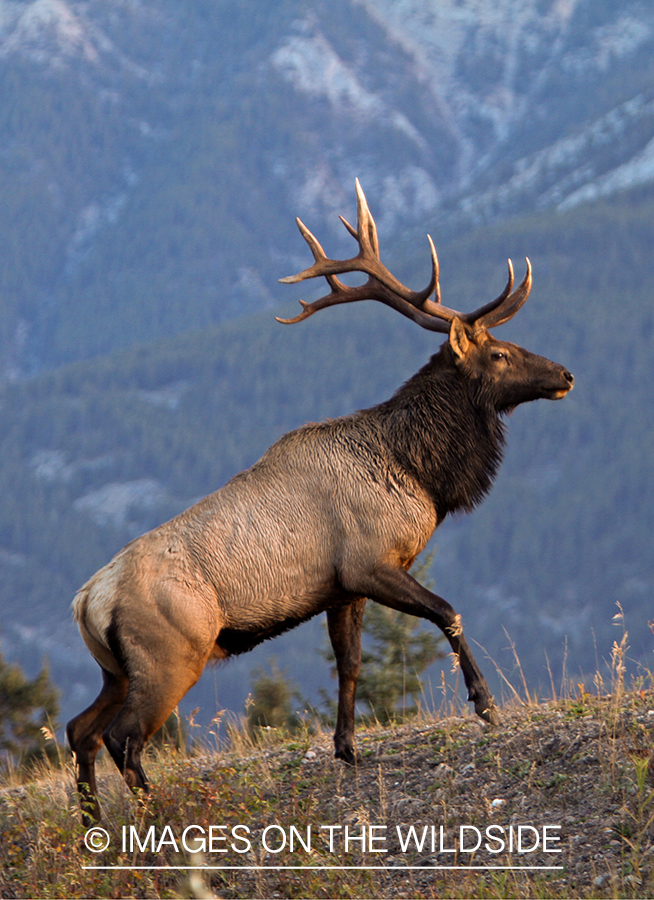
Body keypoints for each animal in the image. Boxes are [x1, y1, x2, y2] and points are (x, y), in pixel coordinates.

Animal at [69, 181, 576, 824]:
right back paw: (158, 819)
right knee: (122, 738)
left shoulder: (343, 588)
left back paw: (94, 824)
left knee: (79, 730)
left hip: (115, 669)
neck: (417, 473)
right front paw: (485, 705)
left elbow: (351, 663)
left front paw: (347, 749)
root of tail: (86, 601)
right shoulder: (370, 563)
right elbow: (448, 612)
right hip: (172, 656)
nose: (565, 373)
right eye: (501, 353)